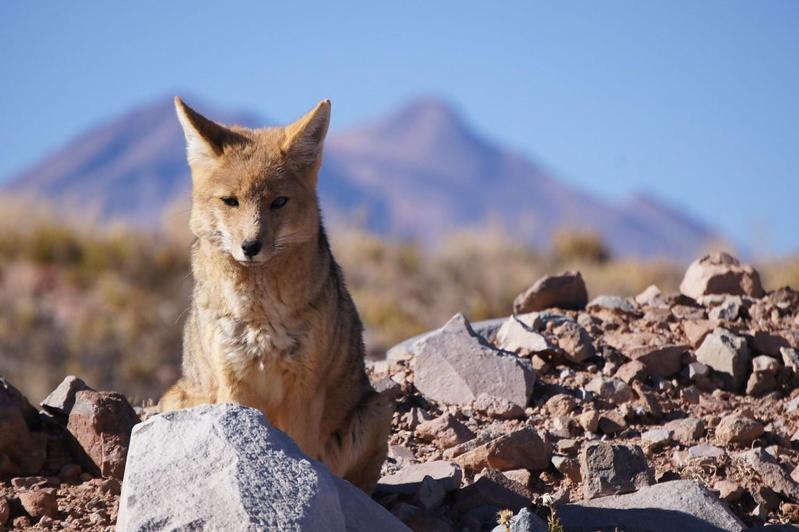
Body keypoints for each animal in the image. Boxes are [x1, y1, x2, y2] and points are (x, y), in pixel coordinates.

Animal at [159, 96, 390, 494]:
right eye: (230, 201)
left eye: (278, 202)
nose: (251, 246)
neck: (259, 315)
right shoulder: (233, 382)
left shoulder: (304, 388)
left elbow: (301, 450)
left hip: (376, 412)